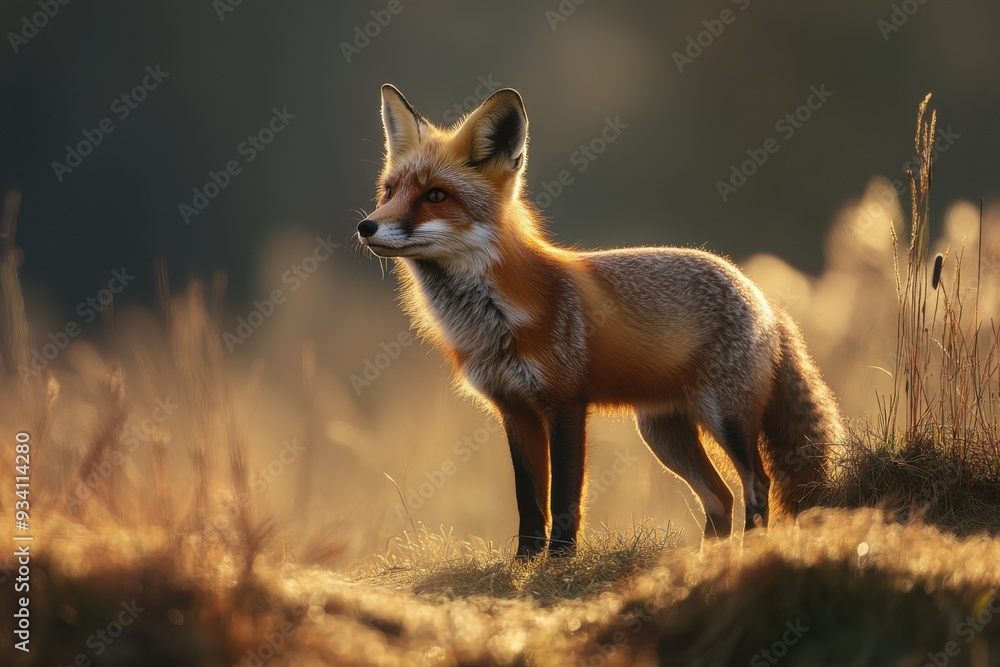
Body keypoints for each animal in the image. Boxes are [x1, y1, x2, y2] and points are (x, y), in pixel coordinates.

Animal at [357, 84, 845, 559]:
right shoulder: (514, 409)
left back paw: (748, 551)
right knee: (719, 497)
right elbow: (529, 499)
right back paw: (702, 562)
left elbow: (564, 496)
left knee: (756, 485)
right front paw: (524, 562)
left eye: (436, 195)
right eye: (389, 192)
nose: (366, 226)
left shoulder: (567, 404)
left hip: (726, 419)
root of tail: (762, 297)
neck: (493, 320)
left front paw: (560, 560)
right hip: (663, 434)